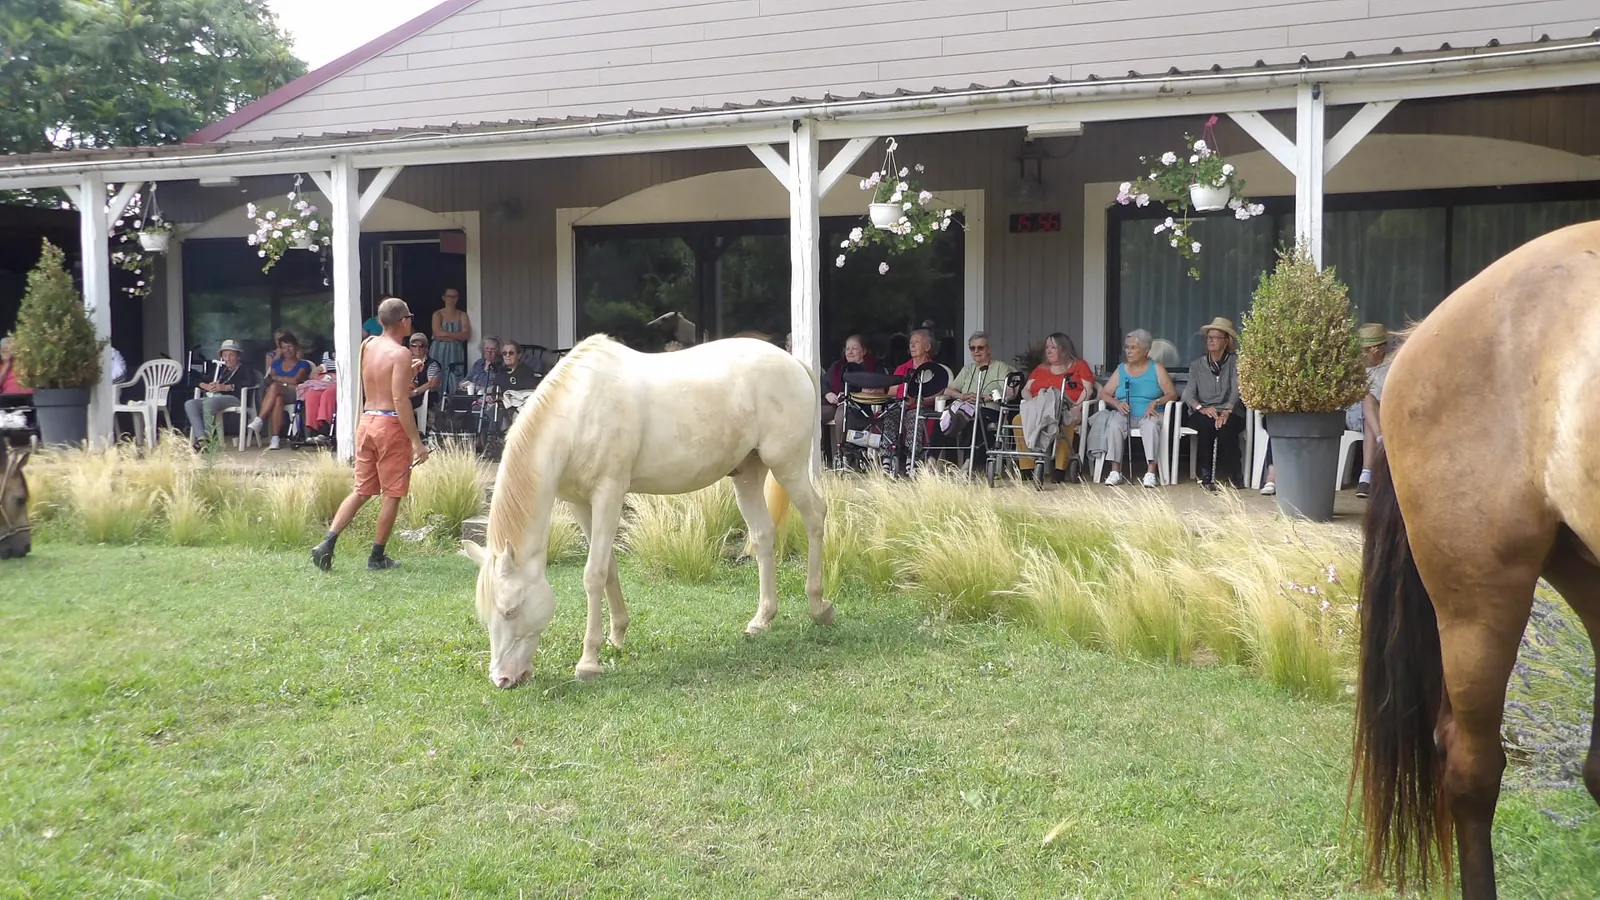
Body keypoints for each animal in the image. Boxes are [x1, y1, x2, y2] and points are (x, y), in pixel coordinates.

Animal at [459, 334, 832, 688]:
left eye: (511, 610)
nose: (503, 679)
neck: (579, 411)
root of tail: (794, 363)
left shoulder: (608, 495)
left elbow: (593, 574)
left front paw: (588, 663)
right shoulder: (580, 503)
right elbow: (608, 567)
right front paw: (616, 635)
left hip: (788, 466)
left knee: (815, 516)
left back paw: (818, 607)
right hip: (748, 475)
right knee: (763, 536)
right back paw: (761, 620)